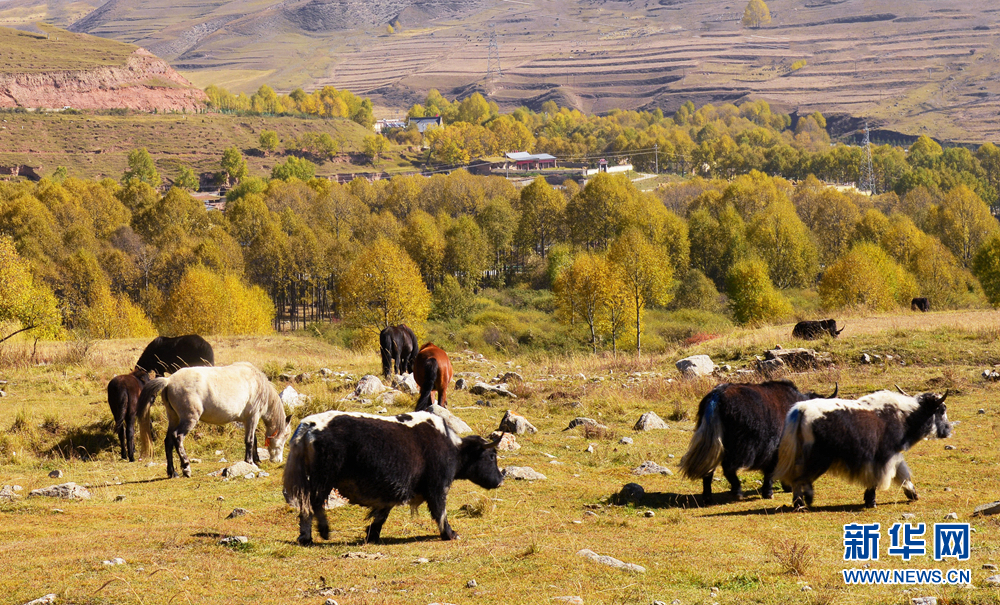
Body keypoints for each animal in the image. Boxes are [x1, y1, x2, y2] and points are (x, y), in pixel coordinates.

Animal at [136, 362, 292, 478]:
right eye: (285, 436)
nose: (278, 460)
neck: (258, 384)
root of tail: (169, 381)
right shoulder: (252, 417)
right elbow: (249, 440)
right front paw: (250, 462)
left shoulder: (249, 420)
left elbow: (253, 440)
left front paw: (256, 460)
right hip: (188, 419)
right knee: (178, 437)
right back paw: (186, 468)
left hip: (174, 418)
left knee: (168, 441)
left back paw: (172, 472)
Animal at [283, 410, 504, 545]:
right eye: (491, 456)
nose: (500, 480)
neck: (453, 448)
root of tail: (308, 427)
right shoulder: (437, 487)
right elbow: (440, 511)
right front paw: (450, 534)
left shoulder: (392, 491)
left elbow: (382, 514)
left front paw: (372, 536)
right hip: (324, 479)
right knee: (315, 504)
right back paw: (324, 532)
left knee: (305, 507)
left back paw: (305, 538)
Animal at [679, 380, 837, 504]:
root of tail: (716, 397)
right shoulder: (775, 448)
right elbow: (771, 470)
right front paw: (769, 493)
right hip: (738, 446)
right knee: (728, 468)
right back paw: (737, 493)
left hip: (713, 443)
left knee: (709, 469)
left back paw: (708, 497)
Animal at [775, 389, 951, 509]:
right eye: (942, 410)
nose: (949, 430)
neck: (904, 417)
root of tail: (801, 410)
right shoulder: (884, 455)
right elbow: (880, 477)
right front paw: (871, 501)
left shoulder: (891, 455)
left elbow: (902, 474)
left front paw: (913, 494)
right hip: (817, 458)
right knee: (799, 478)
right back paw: (800, 503)